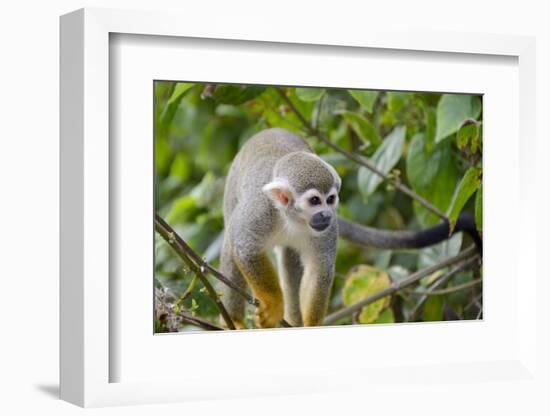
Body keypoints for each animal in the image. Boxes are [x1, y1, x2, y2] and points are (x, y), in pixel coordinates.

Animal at [220, 127, 484, 328]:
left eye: (331, 199)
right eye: (314, 201)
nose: (327, 214)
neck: (292, 218)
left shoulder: (328, 229)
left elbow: (319, 269)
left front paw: (310, 325)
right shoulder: (259, 211)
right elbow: (244, 247)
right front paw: (273, 304)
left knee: (290, 259)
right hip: (232, 190)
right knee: (231, 238)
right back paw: (234, 321)